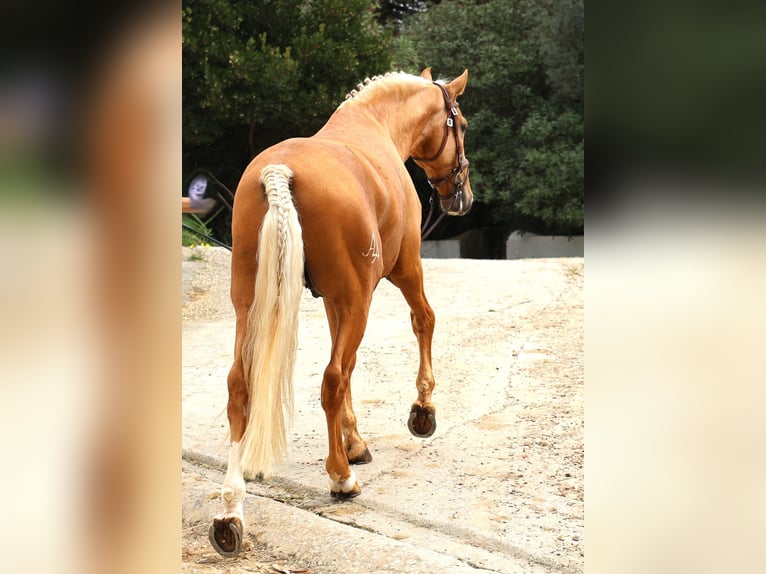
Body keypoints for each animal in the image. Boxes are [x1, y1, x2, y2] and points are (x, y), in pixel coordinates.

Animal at [210, 67, 474, 560]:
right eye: (462, 124)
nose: (461, 197)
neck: (376, 126)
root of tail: (279, 174)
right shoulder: (402, 270)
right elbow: (422, 322)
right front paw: (421, 412)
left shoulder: (336, 302)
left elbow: (348, 369)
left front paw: (354, 441)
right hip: (360, 299)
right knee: (331, 379)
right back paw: (341, 480)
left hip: (248, 307)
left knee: (241, 386)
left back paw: (231, 512)